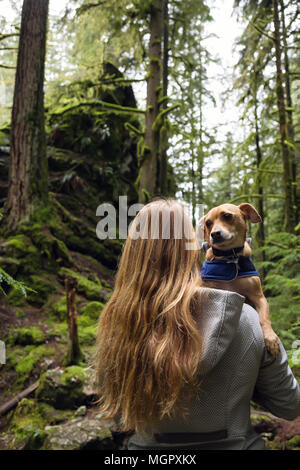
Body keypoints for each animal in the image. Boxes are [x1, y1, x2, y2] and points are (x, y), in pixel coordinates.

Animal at [198, 203, 280, 356]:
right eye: (208, 223)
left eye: (227, 216)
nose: (214, 234)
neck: (230, 256)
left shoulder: (259, 297)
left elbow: (264, 318)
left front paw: (271, 338)